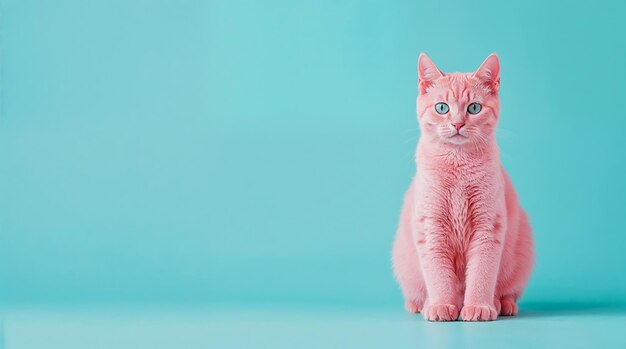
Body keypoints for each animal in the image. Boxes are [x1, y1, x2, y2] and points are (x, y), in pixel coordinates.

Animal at [390, 53, 532, 320]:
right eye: (442, 108)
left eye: (474, 108)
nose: (457, 124)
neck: (458, 166)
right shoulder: (431, 227)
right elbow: (439, 275)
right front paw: (441, 305)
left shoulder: (488, 227)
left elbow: (481, 274)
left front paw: (478, 306)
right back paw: (421, 304)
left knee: (508, 291)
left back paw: (502, 304)